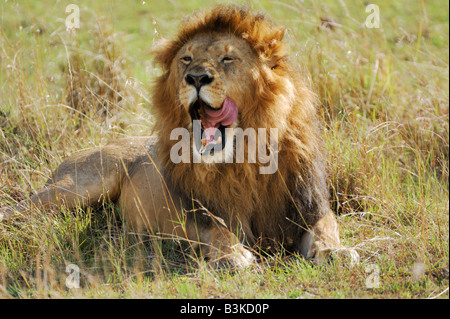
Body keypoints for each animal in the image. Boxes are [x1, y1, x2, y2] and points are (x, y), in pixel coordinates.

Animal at [0, 6, 358, 268]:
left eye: (228, 58)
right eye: (186, 59)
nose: (196, 77)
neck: (245, 157)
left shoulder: (308, 206)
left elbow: (328, 228)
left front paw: (335, 253)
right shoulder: (194, 211)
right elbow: (218, 230)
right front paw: (234, 255)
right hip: (75, 189)